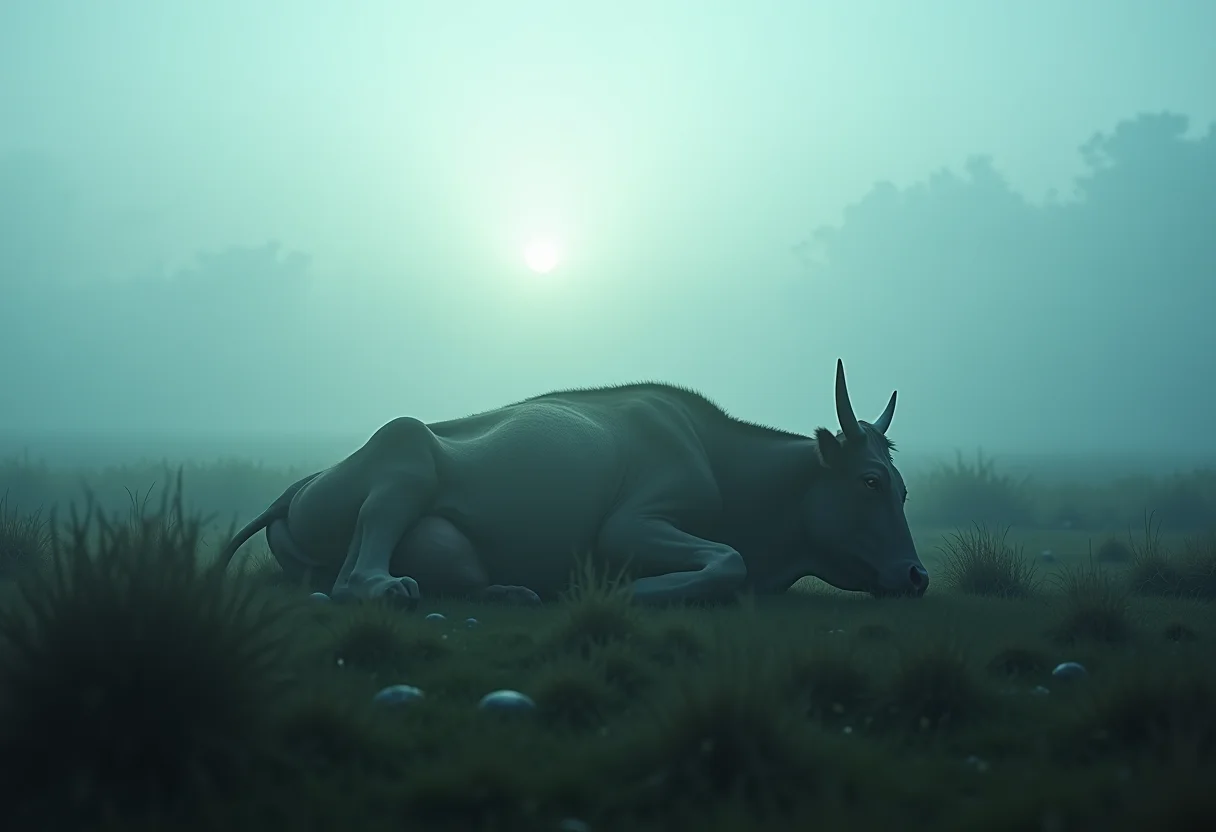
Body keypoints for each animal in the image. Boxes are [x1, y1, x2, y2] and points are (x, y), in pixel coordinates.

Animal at [218, 359, 926, 605]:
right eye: (869, 482)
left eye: (903, 489)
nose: (918, 575)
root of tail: (296, 488)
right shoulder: (632, 523)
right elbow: (728, 560)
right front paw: (625, 591)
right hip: (405, 456)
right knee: (353, 580)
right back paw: (391, 587)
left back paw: (518, 592)